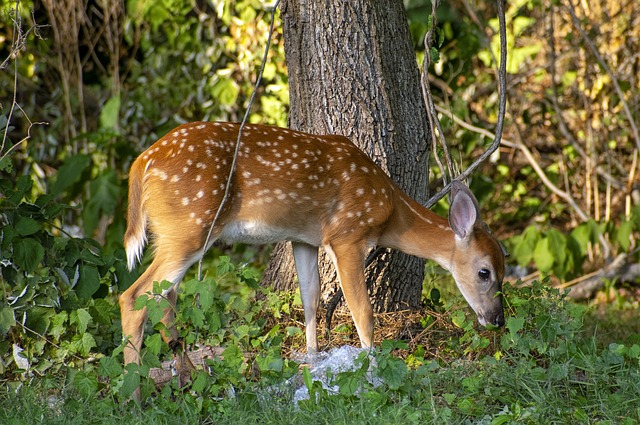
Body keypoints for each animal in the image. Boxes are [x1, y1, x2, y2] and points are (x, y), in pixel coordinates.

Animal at [121, 120, 504, 368]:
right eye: (484, 272)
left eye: (503, 266)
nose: (497, 320)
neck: (390, 207)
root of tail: (140, 164)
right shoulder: (346, 234)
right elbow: (362, 311)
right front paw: (372, 368)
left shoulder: (303, 238)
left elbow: (310, 297)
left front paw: (313, 357)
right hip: (190, 224)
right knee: (133, 296)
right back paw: (134, 392)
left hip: (177, 231)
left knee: (165, 295)